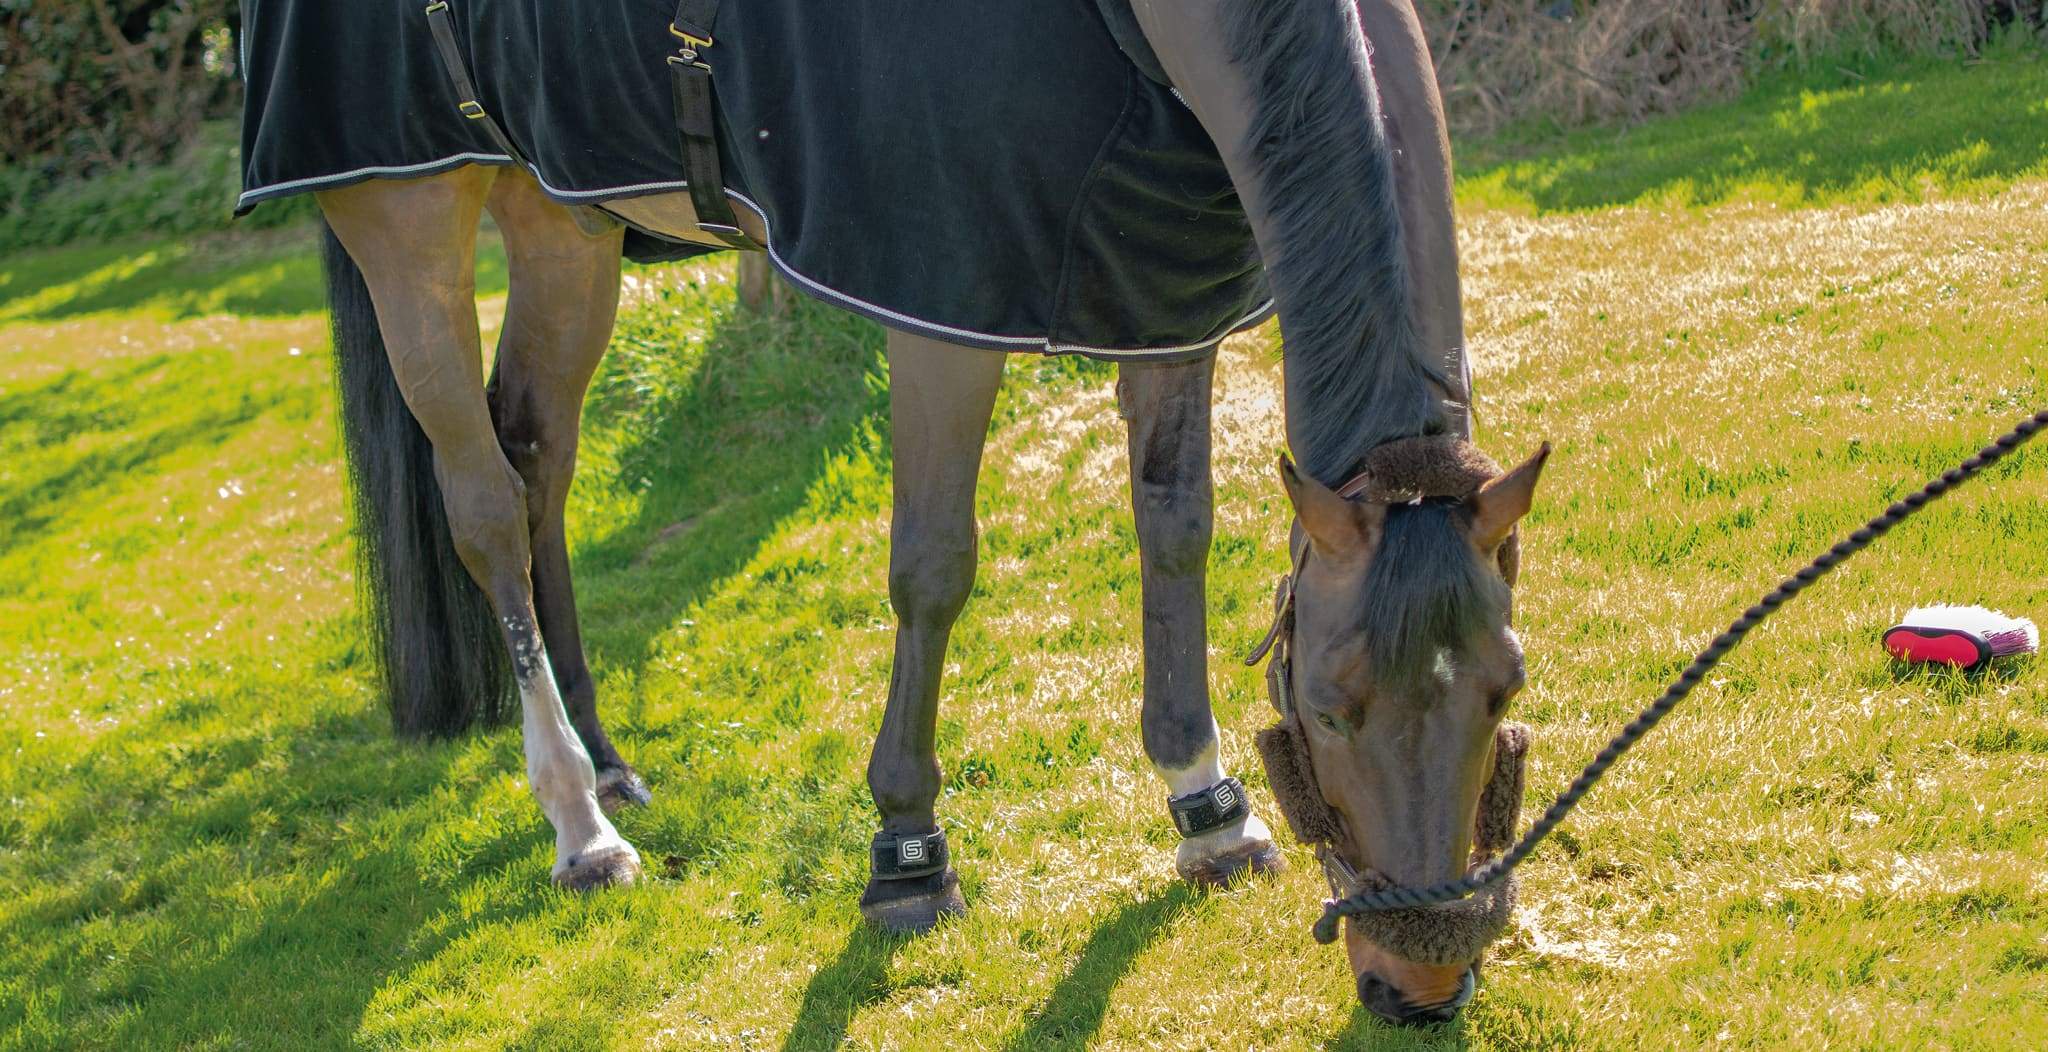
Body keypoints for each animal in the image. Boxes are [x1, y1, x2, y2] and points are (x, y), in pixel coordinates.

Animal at [239, 0, 1540, 1019]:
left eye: (1503, 687)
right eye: (1325, 705)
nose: (1418, 984)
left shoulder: (1161, 297)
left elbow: (1174, 528)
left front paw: (1205, 805)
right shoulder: (940, 309)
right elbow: (933, 567)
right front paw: (907, 852)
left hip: (562, 217)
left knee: (538, 455)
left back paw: (606, 763)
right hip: (405, 219)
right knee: (483, 509)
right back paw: (578, 823)